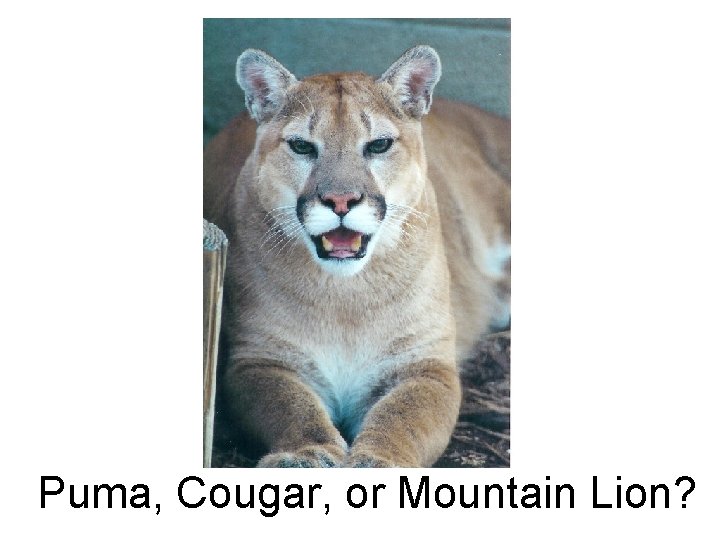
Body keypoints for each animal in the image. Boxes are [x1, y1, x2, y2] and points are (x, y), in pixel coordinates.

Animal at [203, 45, 510, 467]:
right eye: (302, 146)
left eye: (378, 145)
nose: (341, 200)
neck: (346, 296)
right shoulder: (260, 358)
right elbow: (291, 406)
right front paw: (306, 454)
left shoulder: (425, 365)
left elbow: (404, 416)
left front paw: (378, 461)